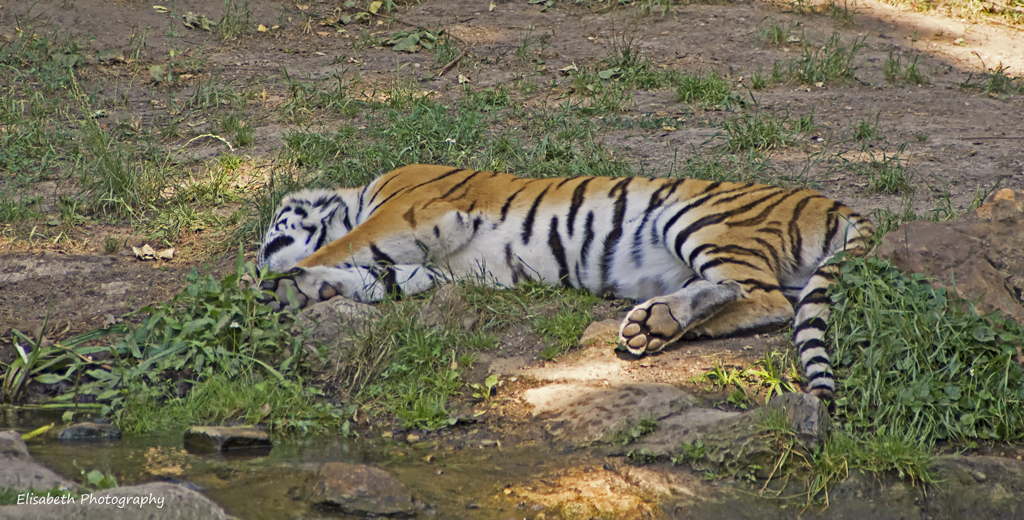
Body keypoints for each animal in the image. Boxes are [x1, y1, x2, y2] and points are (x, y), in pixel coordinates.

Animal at [256, 164, 872, 399]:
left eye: (271, 227)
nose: (258, 255)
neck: (357, 196)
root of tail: (831, 201)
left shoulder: (410, 212)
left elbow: (341, 249)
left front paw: (267, 283)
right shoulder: (424, 266)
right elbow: (369, 275)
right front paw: (300, 289)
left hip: (696, 218)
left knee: (760, 296)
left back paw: (660, 321)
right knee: (755, 299)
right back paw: (657, 326)